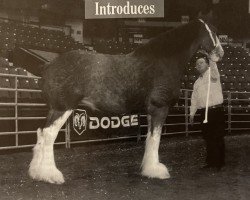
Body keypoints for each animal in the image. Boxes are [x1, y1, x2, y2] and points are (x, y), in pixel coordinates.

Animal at [27, 18, 225, 184]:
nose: (220, 53)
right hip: (63, 107)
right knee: (49, 135)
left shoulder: (150, 110)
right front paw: (156, 171)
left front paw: (148, 168)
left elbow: (149, 138)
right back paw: (51, 175)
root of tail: (48, 65)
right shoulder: (160, 107)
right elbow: (156, 138)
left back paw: (37, 173)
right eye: (213, 32)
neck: (163, 60)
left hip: (53, 108)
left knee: (41, 132)